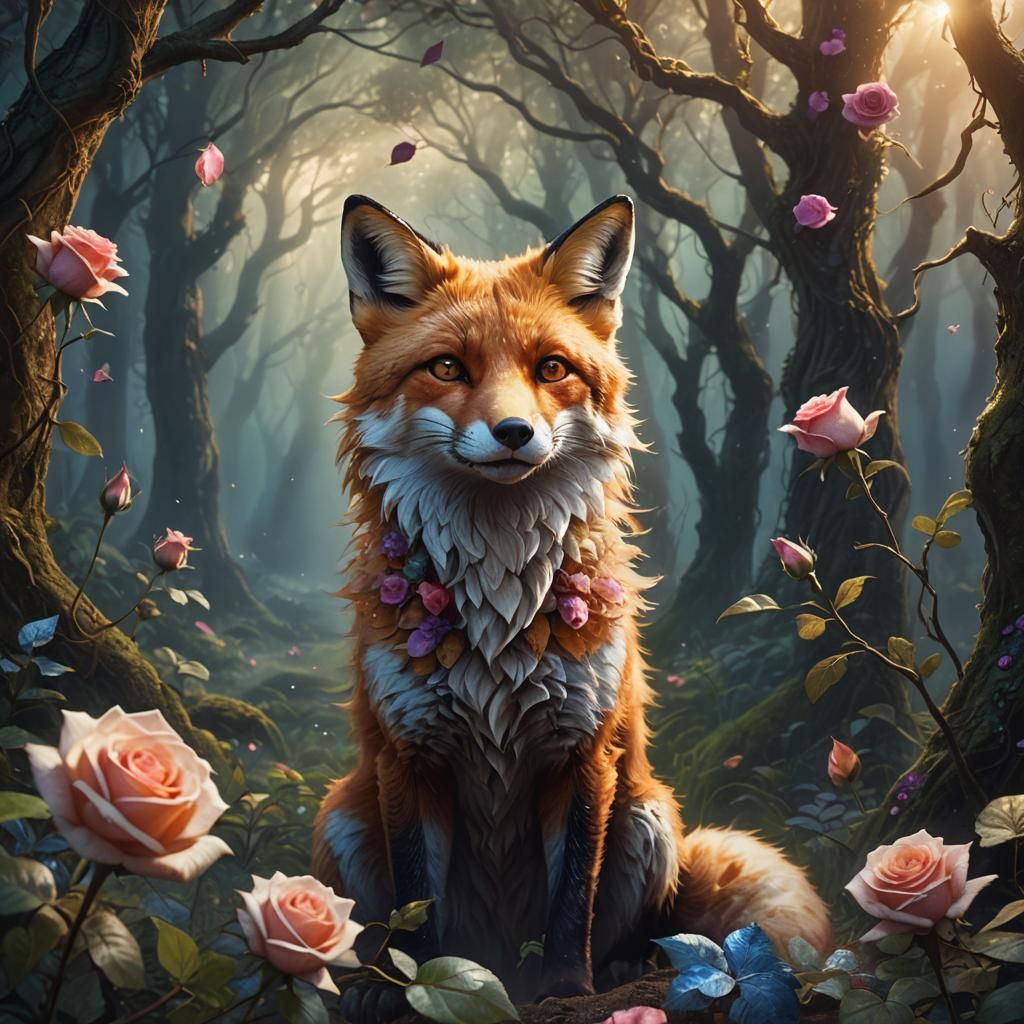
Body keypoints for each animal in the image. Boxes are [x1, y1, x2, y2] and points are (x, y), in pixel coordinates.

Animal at [312, 194, 831, 1018]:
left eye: (551, 369)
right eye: (448, 367)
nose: (514, 432)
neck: (496, 615)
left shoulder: (585, 751)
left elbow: (571, 900)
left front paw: (566, 988)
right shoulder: (408, 756)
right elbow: (416, 911)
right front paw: (417, 987)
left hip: (649, 814)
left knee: (644, 924)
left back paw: (621, 968)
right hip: (343, 816)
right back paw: (374, 982)